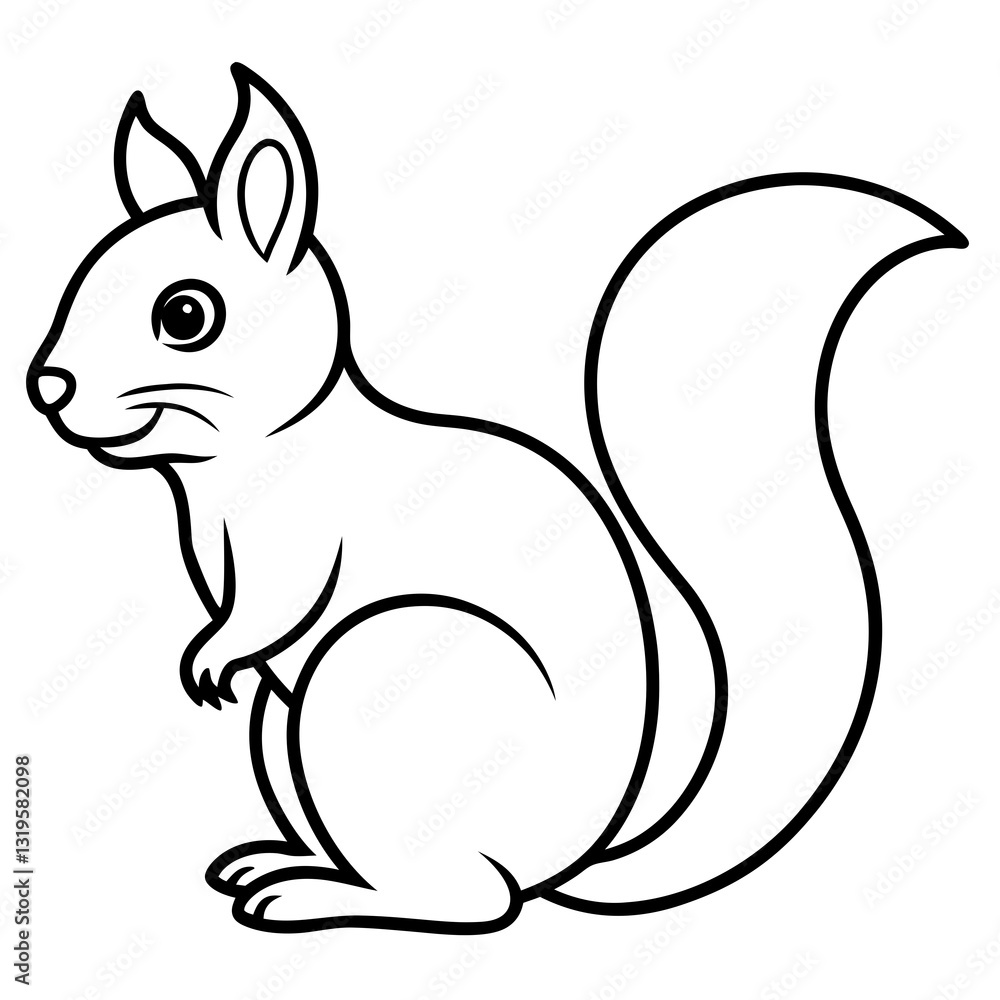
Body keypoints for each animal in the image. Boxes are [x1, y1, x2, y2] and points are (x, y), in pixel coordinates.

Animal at [26, 64, 966, 934]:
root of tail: (567, 863)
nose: (46, 386)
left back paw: (311, 898)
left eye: (186, 315)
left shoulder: (300, 539)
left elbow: (273, 605)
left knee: (473, 902)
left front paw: (212, 658)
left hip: (368, 680)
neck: (247, 454)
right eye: (82, 280)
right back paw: (277, 862)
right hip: (282, 734)